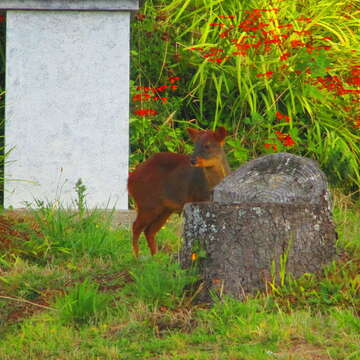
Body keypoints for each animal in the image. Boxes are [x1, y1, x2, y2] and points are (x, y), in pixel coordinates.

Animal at [128, 126, 229, 256]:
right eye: (194, 145)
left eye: (207, 145)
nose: (192, 160)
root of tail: (130, 179)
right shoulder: (198, 199)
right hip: (147, 203)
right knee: (136, 226)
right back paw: (137, 256)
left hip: (165, 209)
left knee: (149, 231)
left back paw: (155, 257)